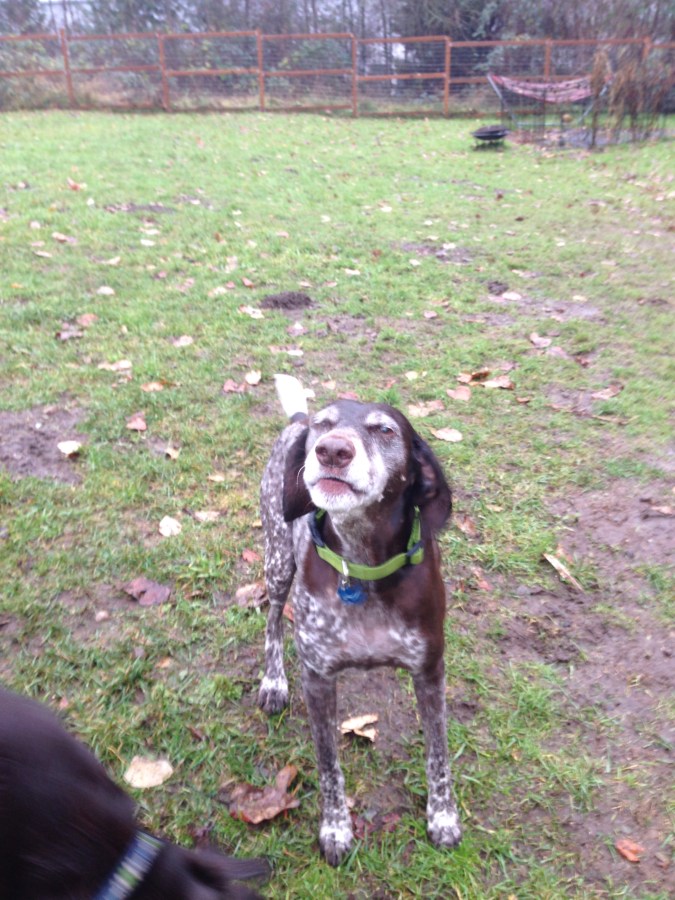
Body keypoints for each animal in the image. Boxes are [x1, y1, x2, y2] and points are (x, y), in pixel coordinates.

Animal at [258, 375, 461, 865]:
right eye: (324, 424)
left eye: (384, 430)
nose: (331, 450)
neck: (363, 569)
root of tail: (294, 420)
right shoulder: (317, 679)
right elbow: (329, 765)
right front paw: (336, 828)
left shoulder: (430, 671)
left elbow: (438, 753)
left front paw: (443, 817)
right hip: (277, 561)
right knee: (272, 619)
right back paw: (273, 682)